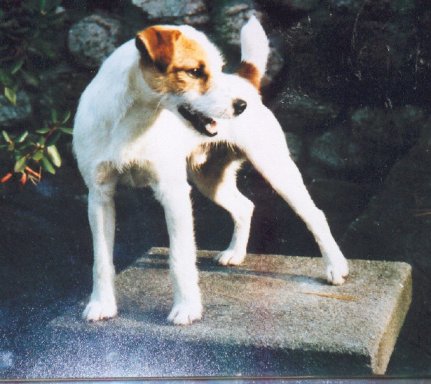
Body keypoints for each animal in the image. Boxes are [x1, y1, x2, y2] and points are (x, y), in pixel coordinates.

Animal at [73, 17, 352, 324]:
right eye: (195, 71)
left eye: (217, 68)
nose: (240, 106)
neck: (132, 124)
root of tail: (244, 82)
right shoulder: (100, 196)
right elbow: (101, 259)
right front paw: (101, 304)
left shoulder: (173, 193)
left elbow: (180, 258)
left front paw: (186, 308)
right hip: (209, 180)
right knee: (245, 207)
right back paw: (235, 253)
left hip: (277, 170)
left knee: (314, 215)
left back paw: (335, 267)